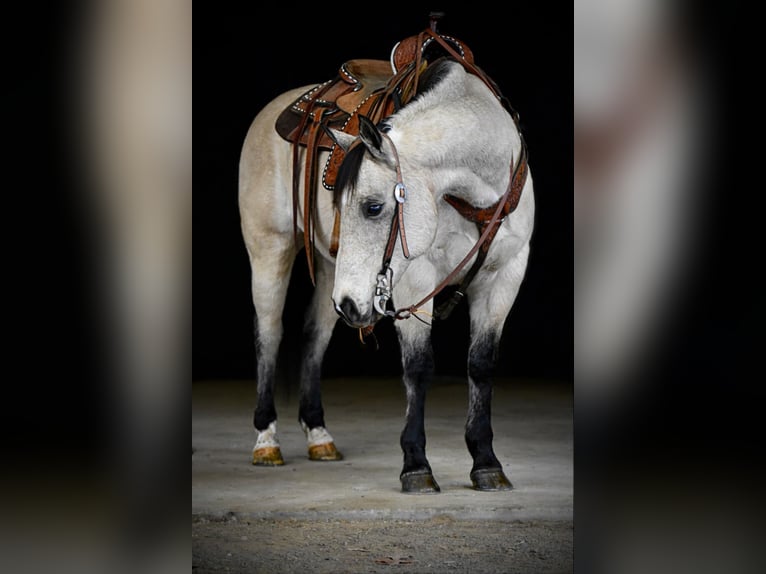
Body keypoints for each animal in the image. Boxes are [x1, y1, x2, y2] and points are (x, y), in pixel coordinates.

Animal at [238, 27, 536, 496]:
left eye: (374, 207)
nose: (351, 305)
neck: (477, 193)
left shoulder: (506, 275)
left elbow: (481, 364)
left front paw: (486, 462)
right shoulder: (417, 279)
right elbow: (417, 367)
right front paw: (416, 465)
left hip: (333, 269)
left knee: (314, 334)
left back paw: (319, 435)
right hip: (271, 250)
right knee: (269, 333)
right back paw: (266, 440)